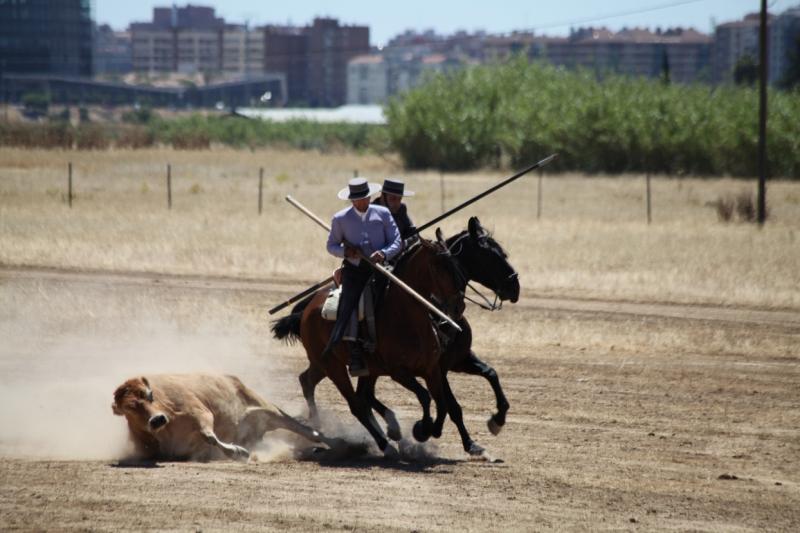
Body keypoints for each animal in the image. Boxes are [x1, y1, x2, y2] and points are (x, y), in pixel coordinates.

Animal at [112, 372, 338, 460]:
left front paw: (239, 452)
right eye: (128, 410)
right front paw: (240, 451)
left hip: (269, 410)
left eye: (149, 395)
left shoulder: (201, 413)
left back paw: (338, 443)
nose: (157, 419)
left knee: (308, 430)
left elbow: (210, 436)